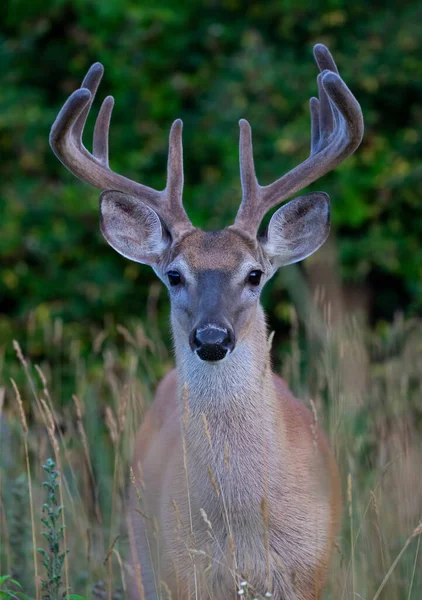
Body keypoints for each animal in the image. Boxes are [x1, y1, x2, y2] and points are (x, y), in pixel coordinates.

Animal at [50, 43, 362, 600]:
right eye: (175, 275)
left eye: (255, 274)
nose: (212, 338)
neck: (245, 534)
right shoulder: (180, 572)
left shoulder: (313, 570)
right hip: (140, 553)